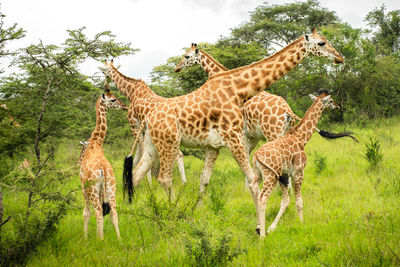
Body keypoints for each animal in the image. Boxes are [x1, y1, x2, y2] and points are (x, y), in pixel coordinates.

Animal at [79, 88, 126, 241]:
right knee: (114, 213)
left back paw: (100, 240)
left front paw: (86, 238)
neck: (96, 142)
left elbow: (86, 212)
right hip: (111, 188)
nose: (124, 106)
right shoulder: (102, 191)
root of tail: (103, 169)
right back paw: (119, 240)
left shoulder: (83, 187)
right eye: (113, 99)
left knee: (98, 212)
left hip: (93, 189)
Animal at [101, 28, 344, 205]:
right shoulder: (233, 136)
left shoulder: (217, 144)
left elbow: (205, 181)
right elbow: (253, 179)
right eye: (321, 43)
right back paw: (170, 210)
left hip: (154, 144)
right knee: (161, 177)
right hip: (168, 143)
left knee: (137, 174)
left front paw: (198, 210)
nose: (340, 58)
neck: (238, 88)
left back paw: (133, 212)